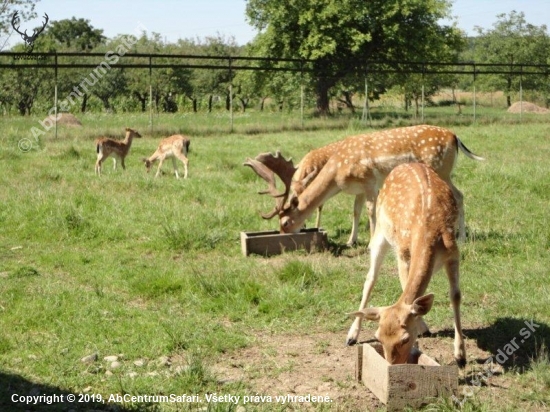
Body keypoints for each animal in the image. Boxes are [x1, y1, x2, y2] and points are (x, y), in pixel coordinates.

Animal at [244, 124, 486, 243]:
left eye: (285, 222)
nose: (281, 235)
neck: (338, 173)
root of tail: (455, 136)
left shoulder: (369, 181)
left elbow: (371, 211)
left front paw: (370, 241)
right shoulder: (358, 189)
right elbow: (355, 211)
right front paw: (351, 241)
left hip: (440, 168)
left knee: (457, 195)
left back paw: (461, 237)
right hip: (445, 171)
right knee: (460, 194)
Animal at [350, 162, 466, 366]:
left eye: (405, 339)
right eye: (378, 337)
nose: (391, 365)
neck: (429, 232)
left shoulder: (453, 253)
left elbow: (455, 296)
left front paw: (461, 355)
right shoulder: (403, 253)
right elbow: (405, 287)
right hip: (381, 232)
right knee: (370, 278)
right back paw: (351, 335)